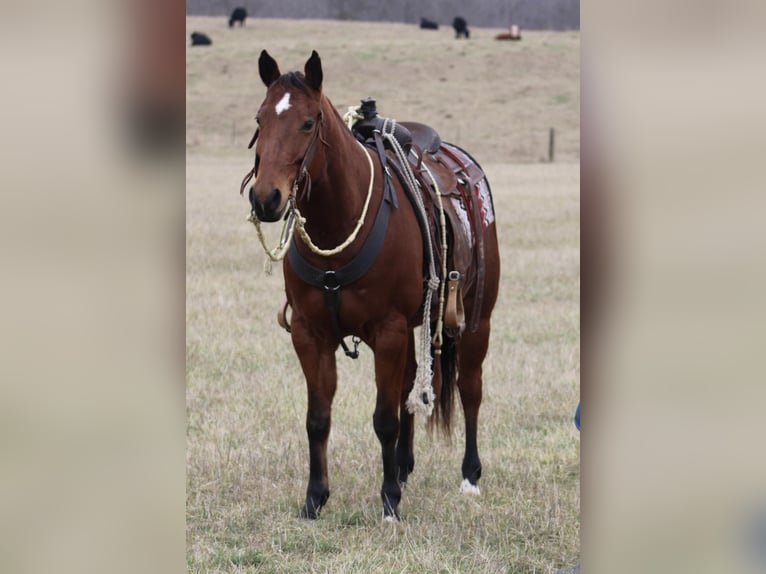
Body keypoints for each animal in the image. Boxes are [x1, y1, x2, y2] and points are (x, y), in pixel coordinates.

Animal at [243, 51, 500, 524]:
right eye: (260, 118)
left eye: (308, 122)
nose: (266, 198)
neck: (336, 226)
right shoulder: (310, 334)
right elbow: (318, 418)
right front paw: (315, 498)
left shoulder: (389, 331)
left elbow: (384, 418)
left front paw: (389, 503)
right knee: (412, 384)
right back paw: (403, 467)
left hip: (477, 319)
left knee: (470, 390)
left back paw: (469, 477)